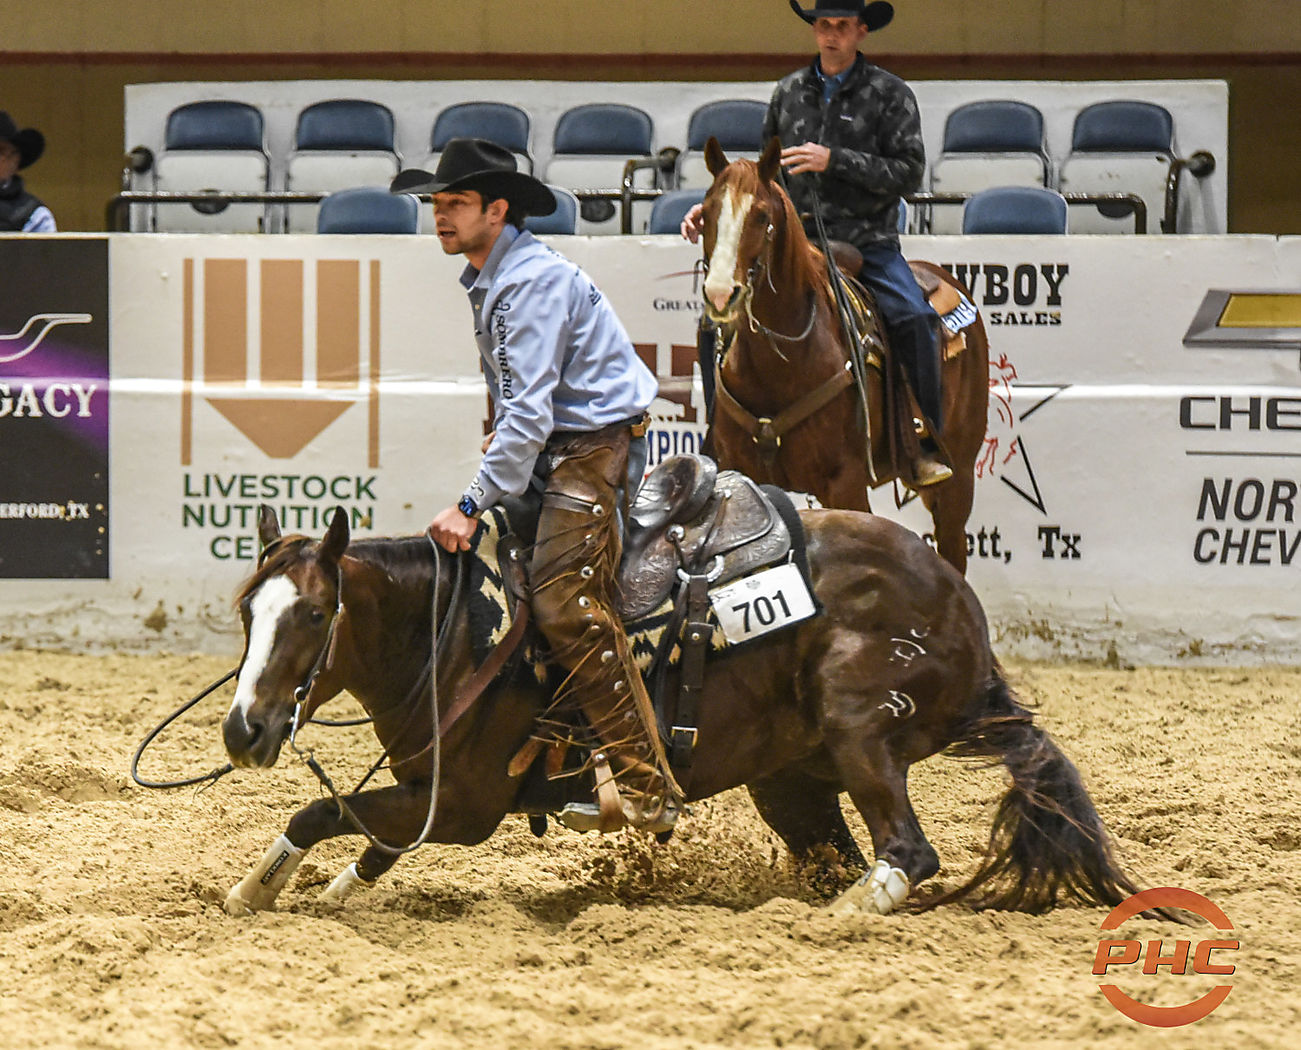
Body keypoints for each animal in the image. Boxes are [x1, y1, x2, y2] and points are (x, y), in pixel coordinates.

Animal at [213, 504, 1160, 926]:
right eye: (246, 609)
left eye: (311, 615)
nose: (241, 729)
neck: (461, 631)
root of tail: (963, 616)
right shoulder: (430, 796)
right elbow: (373, 835)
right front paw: (337, 888)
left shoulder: (469, 806)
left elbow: (321, 809)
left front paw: (253, 889)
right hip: (793, 781)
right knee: (843, 850)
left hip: (862, 728)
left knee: (908, 852)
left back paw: (841, 917)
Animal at [702, 138, 983, 575]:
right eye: (706, 213)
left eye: (762, 216)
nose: (719, 294)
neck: (780, 363)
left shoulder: (846, 483)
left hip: (960, 474)